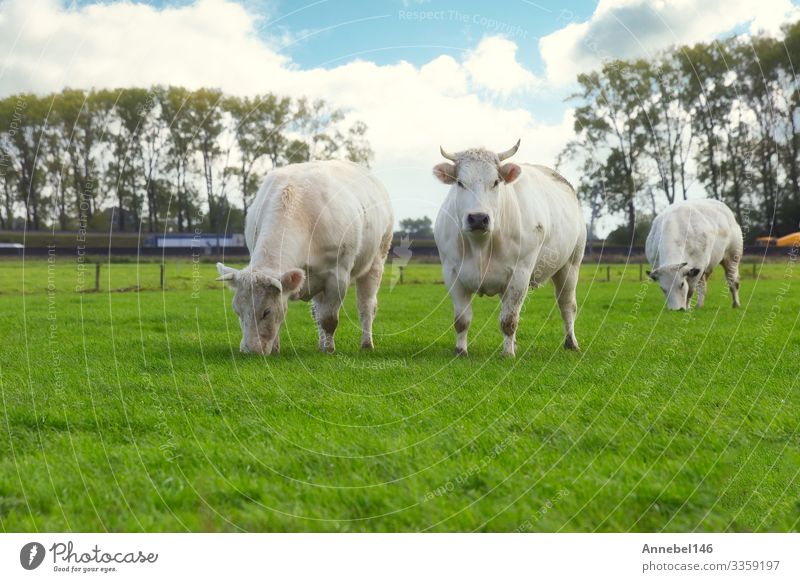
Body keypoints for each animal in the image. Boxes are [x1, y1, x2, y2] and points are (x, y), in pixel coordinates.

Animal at [217, 160, 396, 356]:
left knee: (366, 306)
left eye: (266, 312)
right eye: (237, 311)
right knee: (318, 310)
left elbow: (329, 319)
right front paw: (277, 349)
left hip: (377, 260)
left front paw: (329, 350)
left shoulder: (337, 276)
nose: (249, 350)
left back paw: (366, 344)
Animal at [432, 143, 588, 360]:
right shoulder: (452, 273)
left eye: (496, 182)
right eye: (460, 183)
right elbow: (462, 319)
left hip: (570, 265)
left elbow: (509, 319)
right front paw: (461, 351)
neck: (481, 245)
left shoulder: (520, 274)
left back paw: (571, 343)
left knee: (567, 305)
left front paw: (507, 354)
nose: (478, 218)